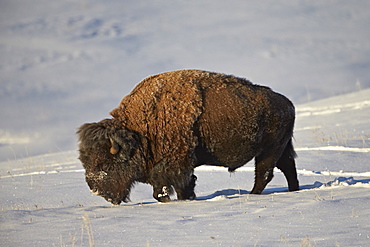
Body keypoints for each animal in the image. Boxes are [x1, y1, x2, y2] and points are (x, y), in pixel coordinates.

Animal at [76, 69, 300, 205]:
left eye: (105, 162)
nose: (96, 190)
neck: (139, 132)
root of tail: (287, 103)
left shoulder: (173, 166)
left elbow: (166, 190)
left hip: (269, 151)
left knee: (264, 174)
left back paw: (253, 195)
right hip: (281, 149)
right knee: (288, 168)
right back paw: (293, 191)